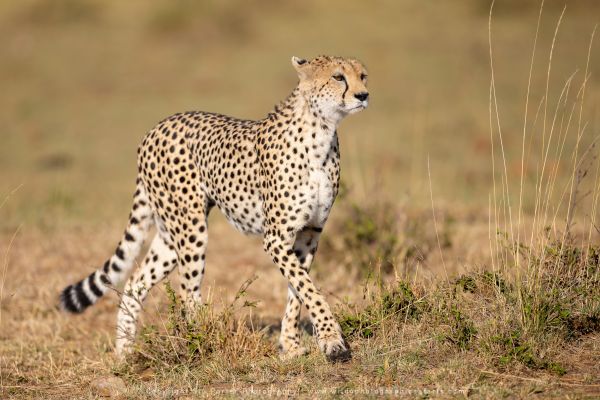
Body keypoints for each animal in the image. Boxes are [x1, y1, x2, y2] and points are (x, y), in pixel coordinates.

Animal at [62, 55, 370, 362]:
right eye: (338, 77)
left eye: (363, 76)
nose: (363, 95)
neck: (321, 132)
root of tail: (157, 127)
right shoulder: (276, 237)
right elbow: (309, 288)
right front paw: (332, 340)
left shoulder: (309, 233)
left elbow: (299, 291)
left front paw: (291, 346)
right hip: (190, 229)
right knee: (187, 292)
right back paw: (200, 344)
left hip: (169, 235)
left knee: (135, 282)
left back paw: (125, 353)